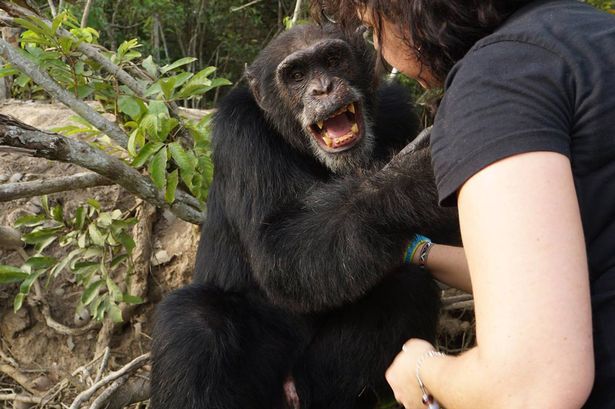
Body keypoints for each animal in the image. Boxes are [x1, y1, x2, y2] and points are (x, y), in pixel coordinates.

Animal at [152, 23, 460, 408]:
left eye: (333, 58)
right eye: (296, 75)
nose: (322, 88)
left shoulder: (398, 110)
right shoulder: (240, 134)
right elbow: (278, 250)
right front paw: (411, 179)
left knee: (407, 285)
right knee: (193, 322)